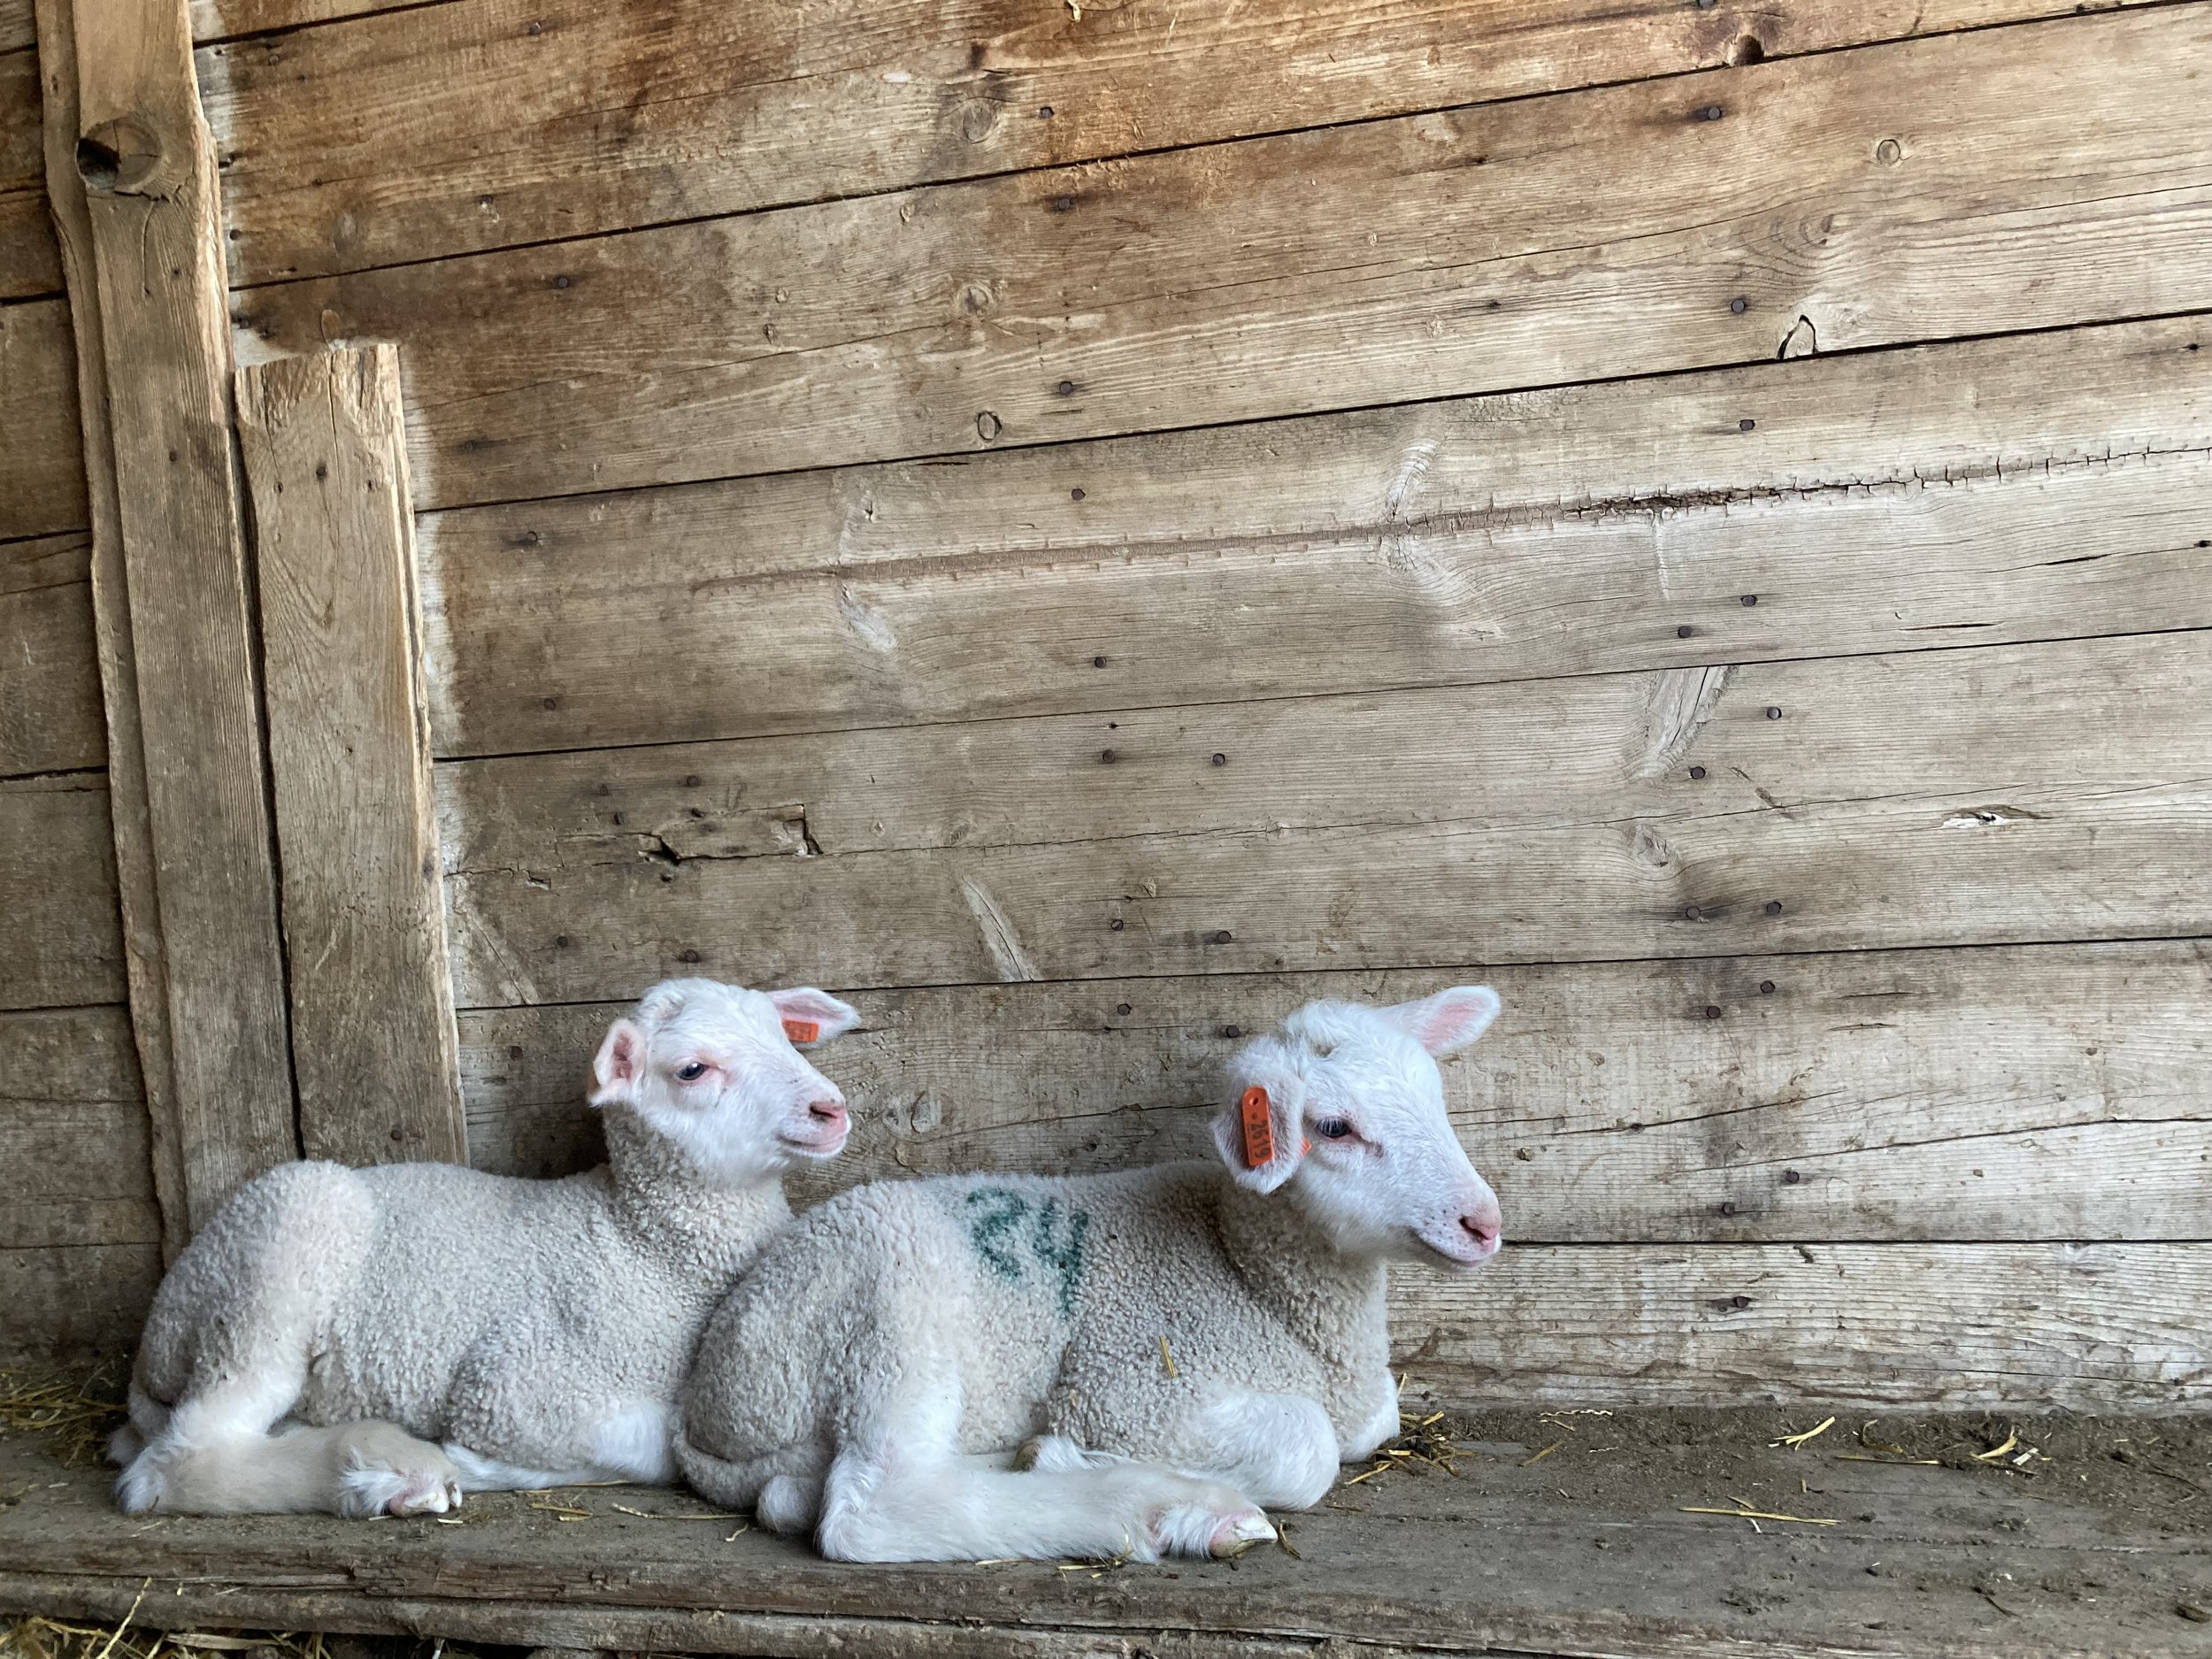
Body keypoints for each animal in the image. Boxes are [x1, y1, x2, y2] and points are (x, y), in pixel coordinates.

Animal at [111, 977, 860, 1518]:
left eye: (784, 1036)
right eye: (693, 1069)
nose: (830, 1107)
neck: (636, 1242)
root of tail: (156, 1337)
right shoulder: (515, 1387)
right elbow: (656, 1448)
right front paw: (470, 1461)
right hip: (278, 1255)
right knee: (179, 1461)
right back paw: (387, 1468)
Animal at [673, 986, 1504, 1563]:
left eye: (1435, 1097)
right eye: (1335, 1128)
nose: (1484, 1222)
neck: (1246, 1273)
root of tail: (707, 1396)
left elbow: (1376, 1421)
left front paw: (1049, 1454)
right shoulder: (1130, 1388)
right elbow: (1311, 1446)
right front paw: (1072, 1453)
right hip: (886, 1296)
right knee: (872, 1509)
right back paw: (1164, 1506)